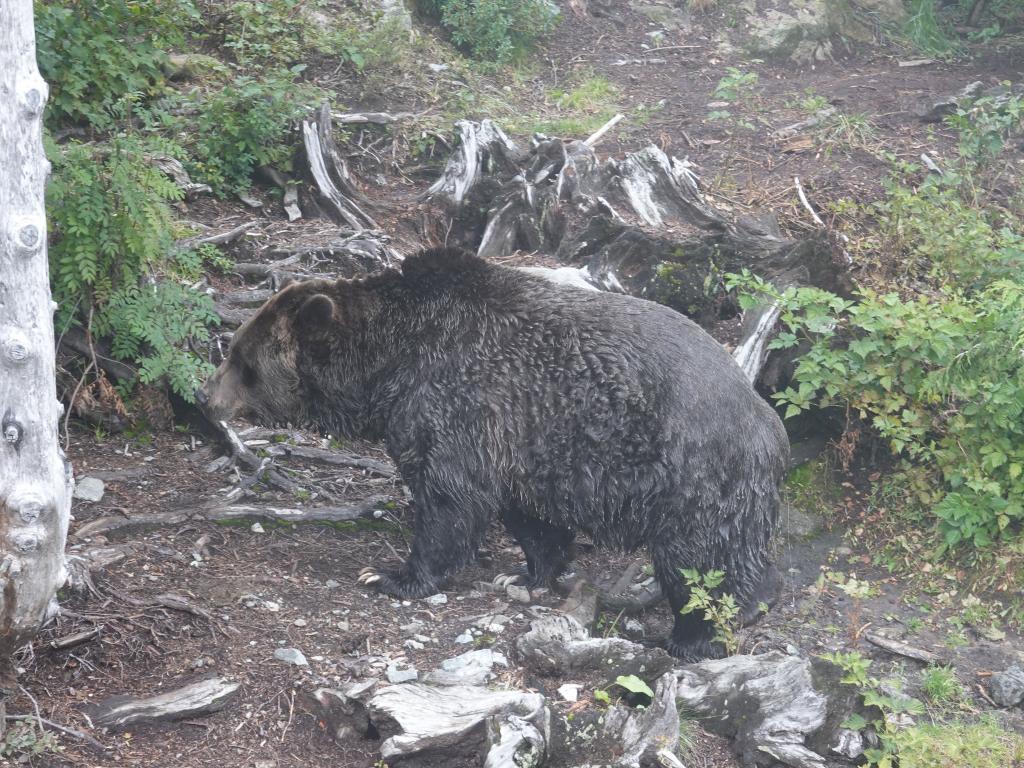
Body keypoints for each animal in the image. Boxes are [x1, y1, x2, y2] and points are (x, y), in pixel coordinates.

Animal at [201, 247, 790, 663]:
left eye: (242, 361)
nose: (206, 398)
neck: (391, 363)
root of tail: (767, 420)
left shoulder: (459, 401)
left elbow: (448, 499)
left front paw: (392, 575)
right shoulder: (525, 444)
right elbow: (526, 514)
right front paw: (529, 572)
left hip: (692, 476)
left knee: (699, 564)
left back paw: (694, 637)